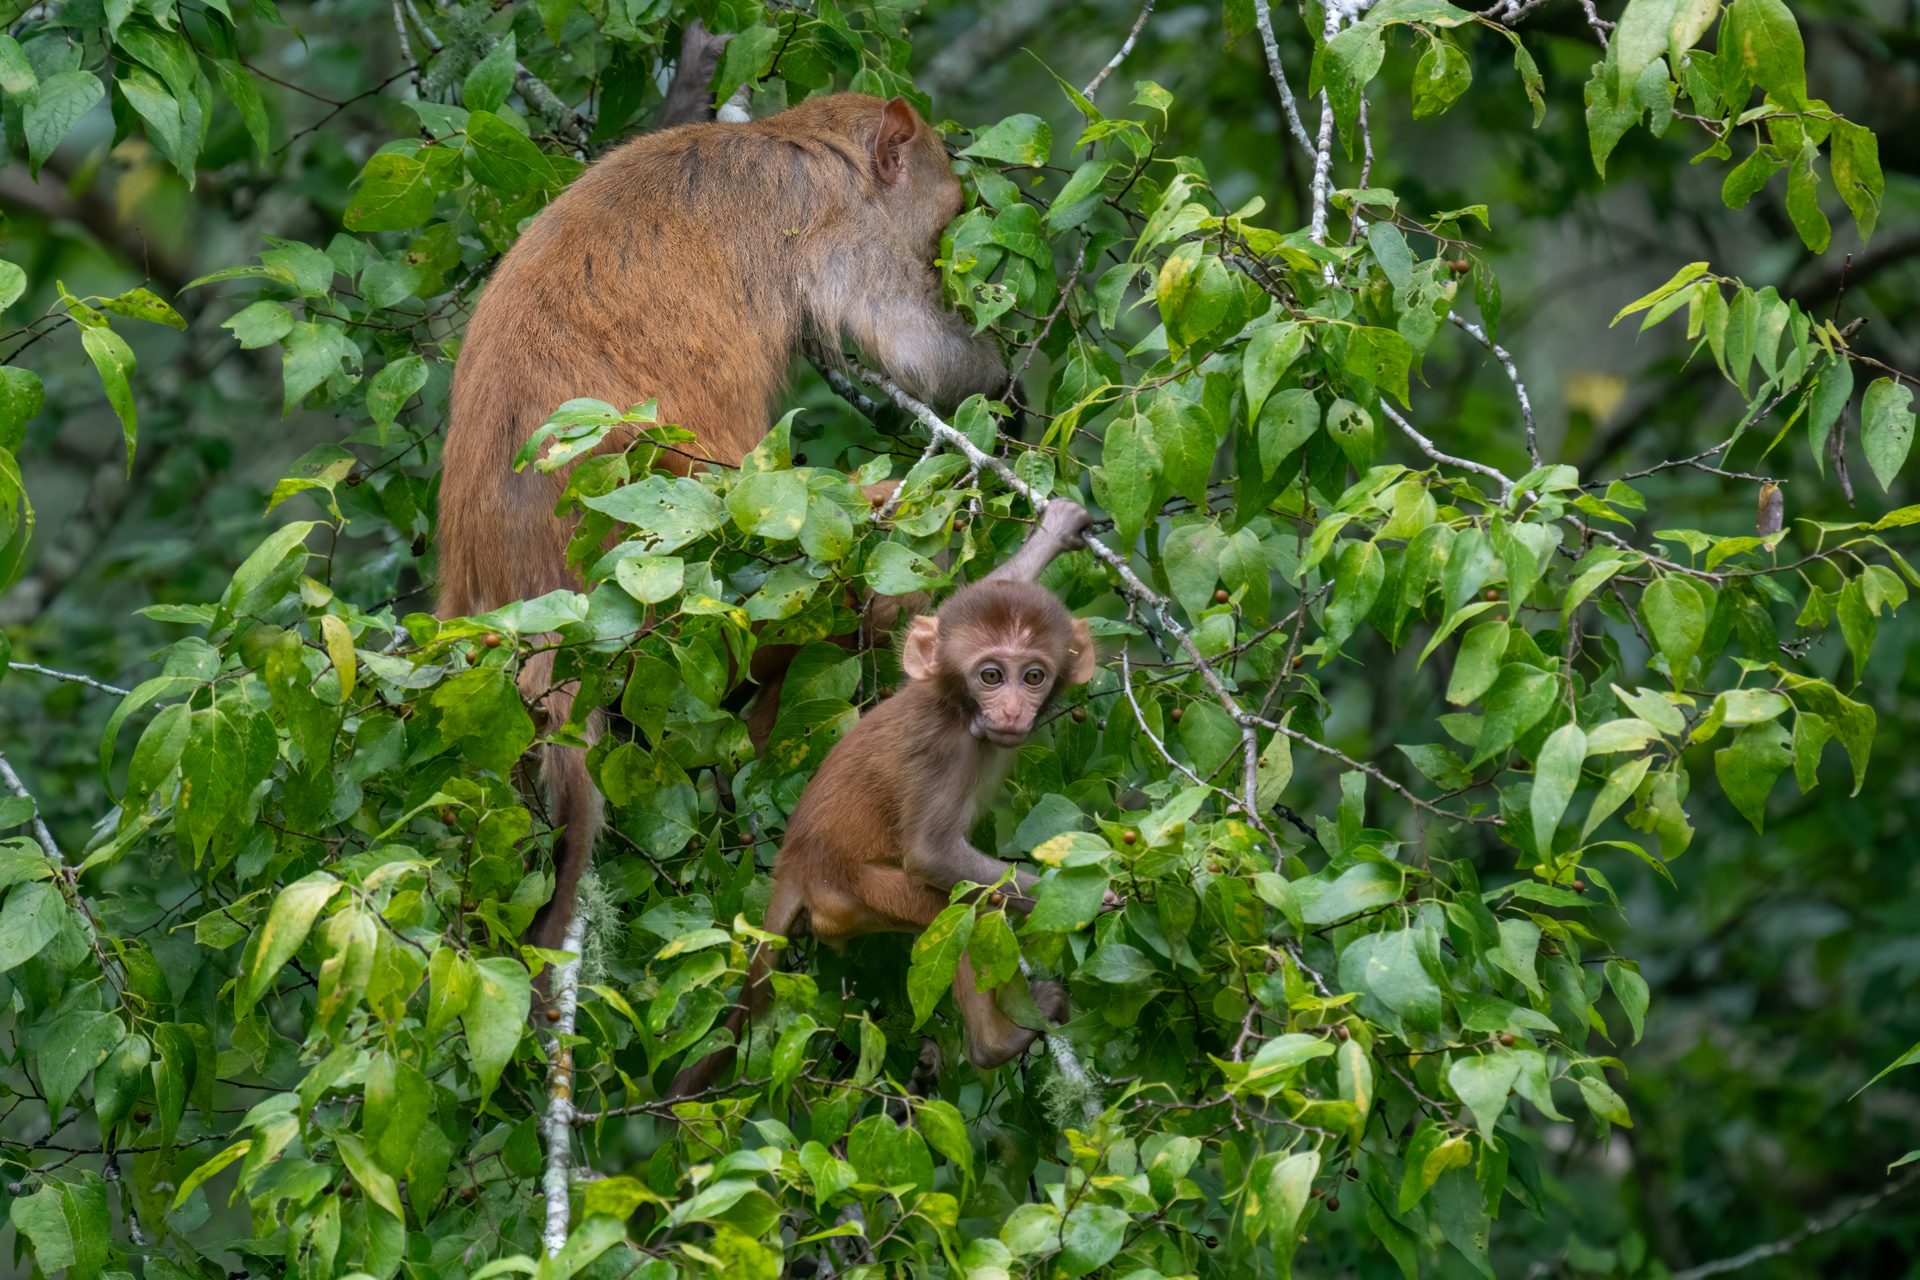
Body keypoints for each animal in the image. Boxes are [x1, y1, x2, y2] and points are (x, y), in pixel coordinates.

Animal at [436, 91, 1008, 957]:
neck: (786, 137)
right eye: (940, 225)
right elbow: (917, 347)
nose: (945, 261)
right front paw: (1004, 383)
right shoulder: (842, 225)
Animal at [667, 499, 1100, 1099]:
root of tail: (794, 864)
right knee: (955, 906)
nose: (1013, 710)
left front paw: (1056, 529)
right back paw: (995, 1044)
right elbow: (933, 855)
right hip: (852, 893)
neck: (960, 711)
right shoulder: (943, 754)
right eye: (991, 676)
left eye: (1033, 676)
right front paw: (1097, 897)